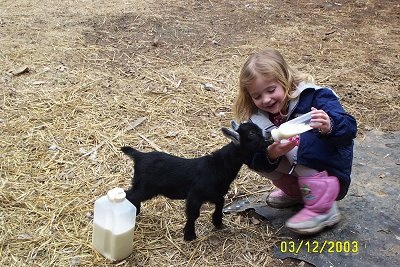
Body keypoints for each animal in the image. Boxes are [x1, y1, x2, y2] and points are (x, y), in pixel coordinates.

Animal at [119, 122, 268, 242]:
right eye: (252, 133)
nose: (268, 136)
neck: (219, 165)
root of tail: (139, 156)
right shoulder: (195, 195)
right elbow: (193, 214)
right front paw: (189, 235)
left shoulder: (214, 194)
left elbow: (220, 203)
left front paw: (217, 222)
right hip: (146, 187)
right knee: (129, 195)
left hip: (140, 185)